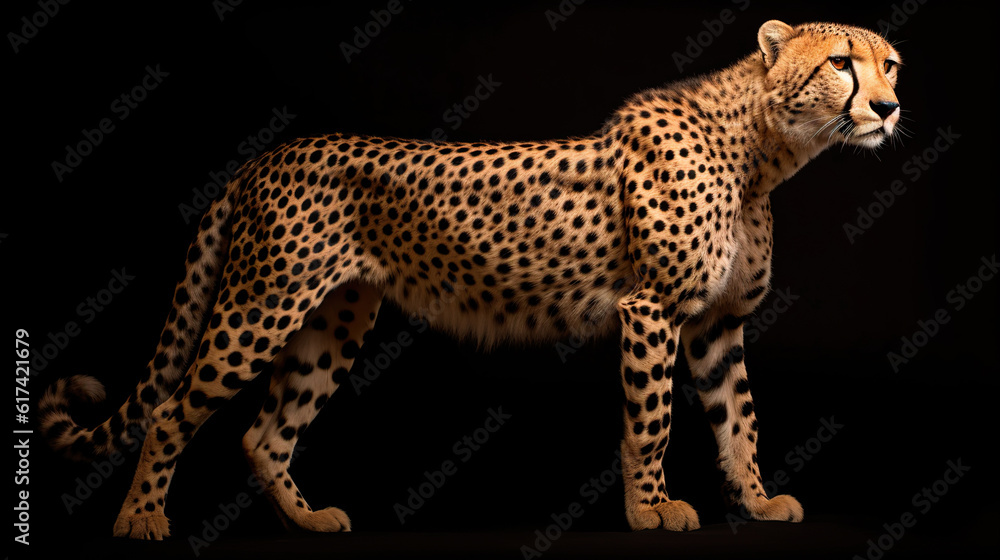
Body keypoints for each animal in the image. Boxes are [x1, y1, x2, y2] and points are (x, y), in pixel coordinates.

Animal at [40, 20, 901, 539]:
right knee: (172, 411)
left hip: (334, 320)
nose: (891, 107)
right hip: (262, 305)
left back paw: (307, 520)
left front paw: (754, 500)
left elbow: (739, 420)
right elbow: (652, 421)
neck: (764, 149)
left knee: (264, 432)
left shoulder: (717, 325)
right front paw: (653, 510)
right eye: (840, 63)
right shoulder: (652, 309)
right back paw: (140, 520)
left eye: (890, 64)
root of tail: (265, 157)